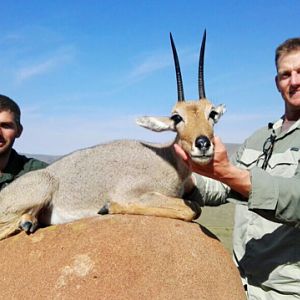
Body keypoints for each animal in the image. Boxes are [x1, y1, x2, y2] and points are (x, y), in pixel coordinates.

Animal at [0, 31, 225, 240]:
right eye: (177, 117)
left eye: (212, 113)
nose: (203, 144)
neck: (167, 159)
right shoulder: (132, 193)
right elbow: (191, 209)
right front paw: (108, 207)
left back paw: (30, 221)